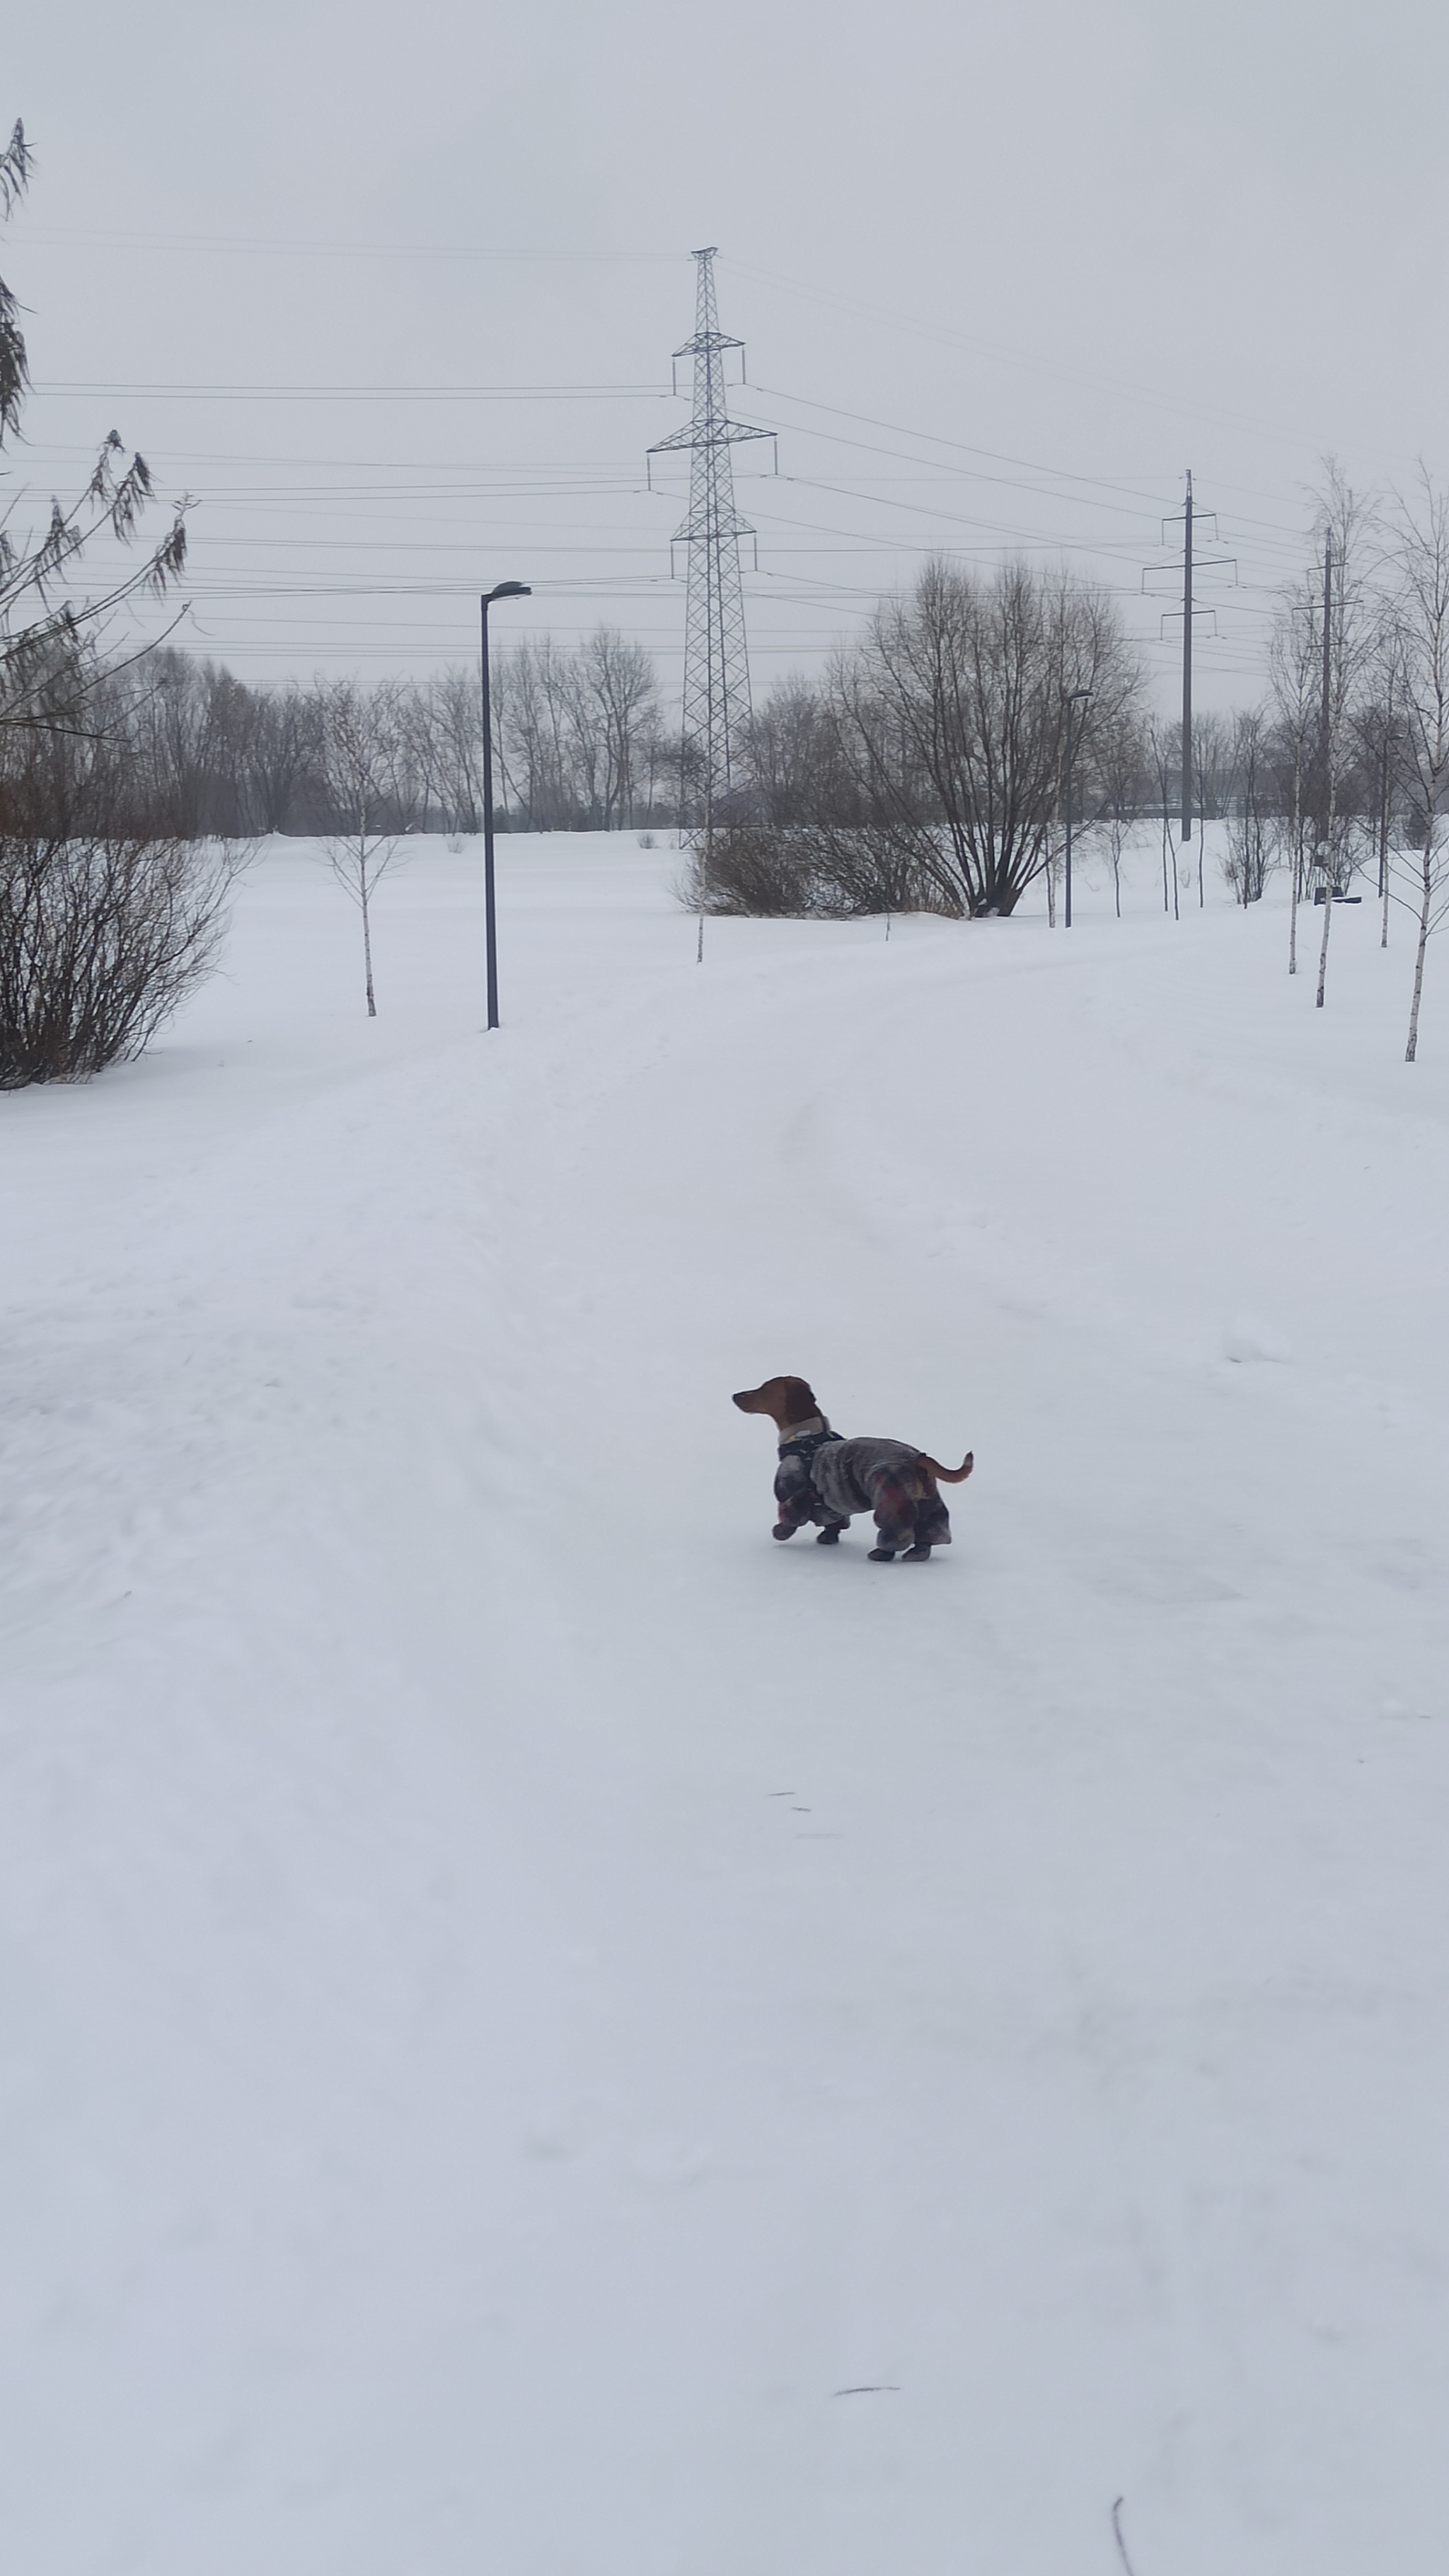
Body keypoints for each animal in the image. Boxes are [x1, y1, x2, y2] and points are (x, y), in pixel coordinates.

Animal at [732, 1381, 969, 1555]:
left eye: (762, 1389)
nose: (735, 1395)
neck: (805, 1437)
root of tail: (916, 1459)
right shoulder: (831, 1502)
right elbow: (834, 1522)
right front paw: (828, 1538)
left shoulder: (792, 1493)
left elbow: (790, 1519)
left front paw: (780, 1532)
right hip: (929, 1503)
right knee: (926, 1537)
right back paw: (917, 1553)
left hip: (891, 1499)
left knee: (898, 1533)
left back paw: (881, 1554)